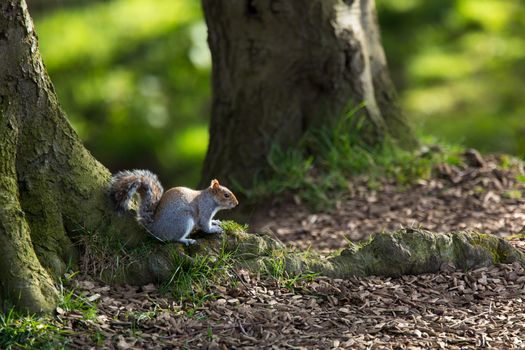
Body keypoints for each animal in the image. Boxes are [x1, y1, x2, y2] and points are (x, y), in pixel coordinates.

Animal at [109, 169, 239, 243]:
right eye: (226, 195)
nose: (236, 203)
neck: (210, 199)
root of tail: (154, 228)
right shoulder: (205, 209)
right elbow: (205, 225)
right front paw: (214, 229)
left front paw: (216, 221)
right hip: (183, 221)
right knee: (175, 239)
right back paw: (187, 240)